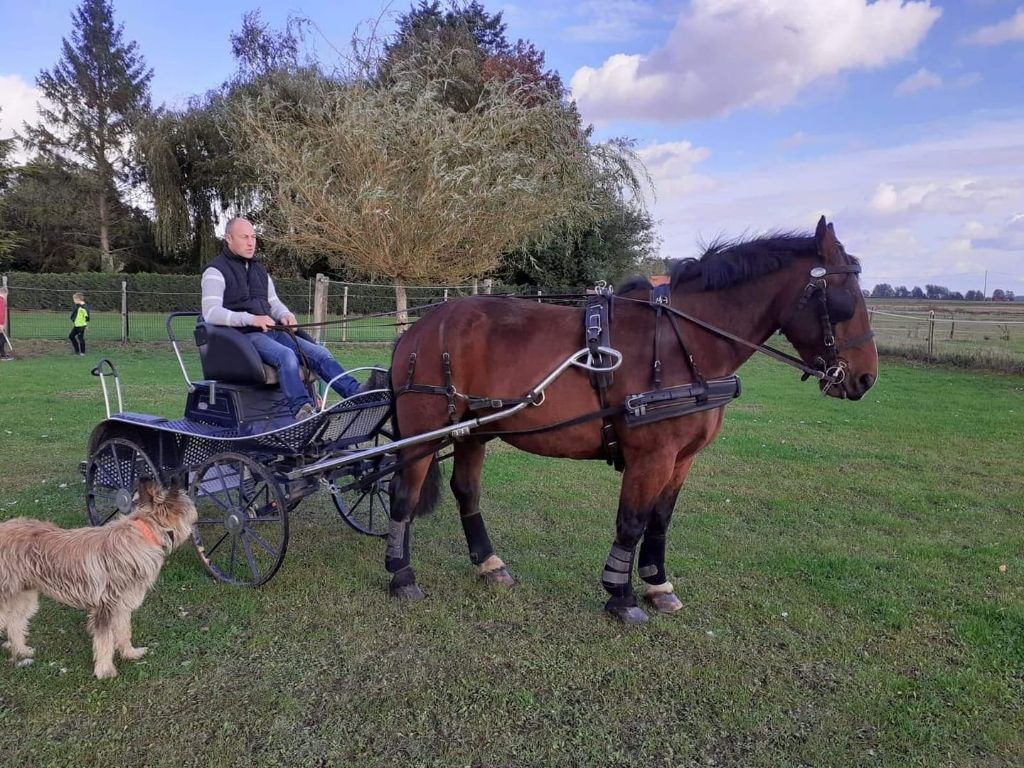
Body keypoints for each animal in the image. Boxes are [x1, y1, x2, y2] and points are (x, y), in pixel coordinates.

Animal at [0, 481, 197, 679]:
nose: (196, 521)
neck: (144, 532)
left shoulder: (122, 605)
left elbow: (124, 631)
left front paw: (129, 653)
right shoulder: (105, 607)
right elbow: (105, 640)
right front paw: (105, 670)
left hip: (24, 595)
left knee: (14, 622)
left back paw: (21, 650)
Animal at [385, 214, 880, 622]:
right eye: (844, 299)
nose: (866, 378)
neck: (686, 343)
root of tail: (420, 329)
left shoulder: (681, 459)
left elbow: (659, 521)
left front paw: (658, 585)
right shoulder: (651, 456)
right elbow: (632, 521)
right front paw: (620, 597)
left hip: (472, 431)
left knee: (466, 491)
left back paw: (489, 563)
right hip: (424, 432)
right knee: (403, 494)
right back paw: (401, 574)